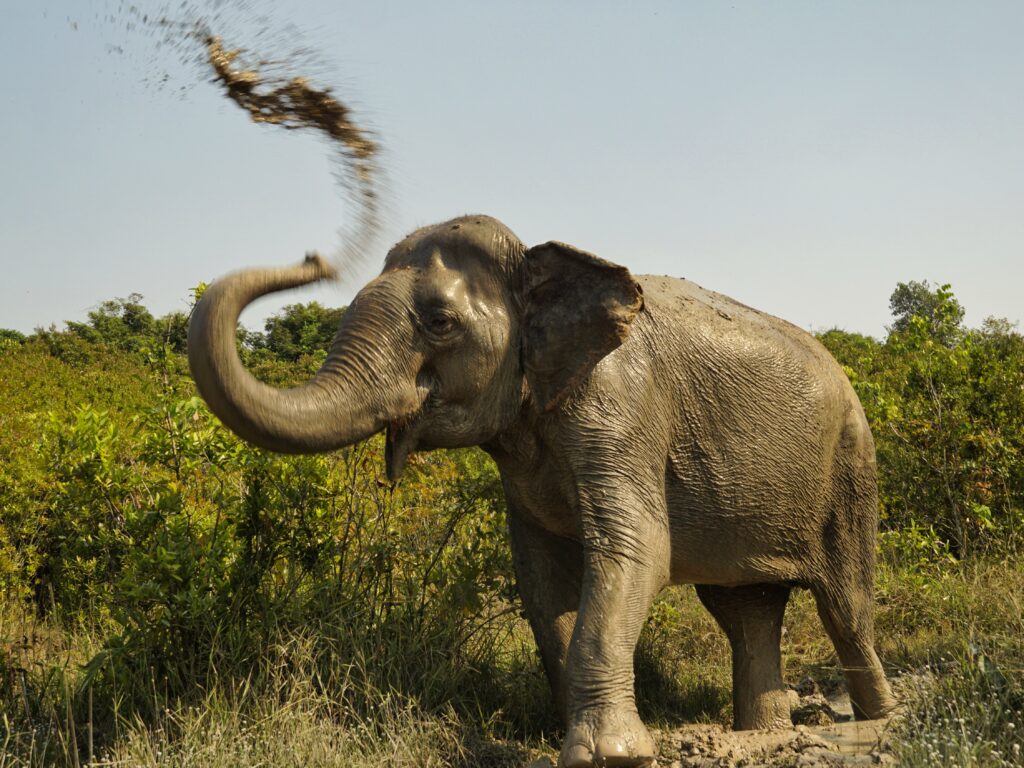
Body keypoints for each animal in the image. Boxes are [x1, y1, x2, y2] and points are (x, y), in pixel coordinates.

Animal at [186, 215, 897, 768]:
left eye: (439, 322)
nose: (315, 257)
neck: (541, 265)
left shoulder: (621, 407)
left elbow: (637, 549)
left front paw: (610, 756)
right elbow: (541, 573)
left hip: (851, 468)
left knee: (845, 607)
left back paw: (880, 723)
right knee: (744, 608)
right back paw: (762, 734)